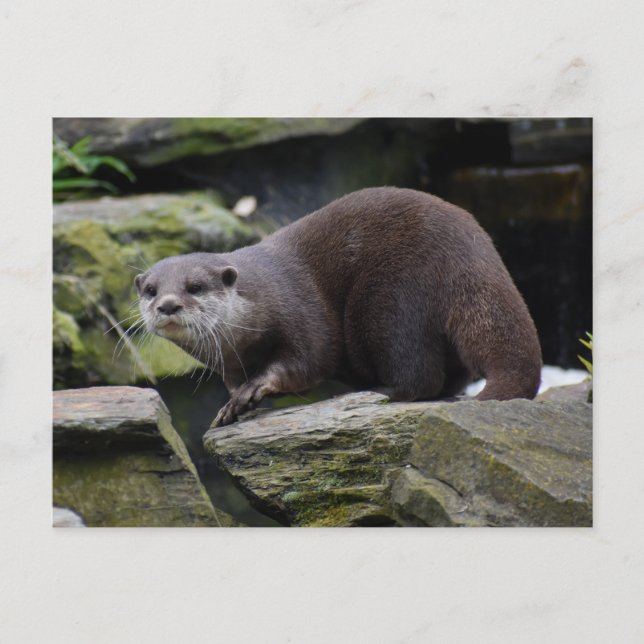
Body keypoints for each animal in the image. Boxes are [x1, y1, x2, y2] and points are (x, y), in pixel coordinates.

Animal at [134, 187, 542, 426]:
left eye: (195, 286)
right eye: (151, 290)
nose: (167, 305)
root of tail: (475, 255)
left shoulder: (301, 315)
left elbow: (307, 360)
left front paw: (257, 388)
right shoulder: (231, 365)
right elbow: (236, 385)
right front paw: (235, 405)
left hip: (391, 300)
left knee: (419, 374)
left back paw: (377, 393)